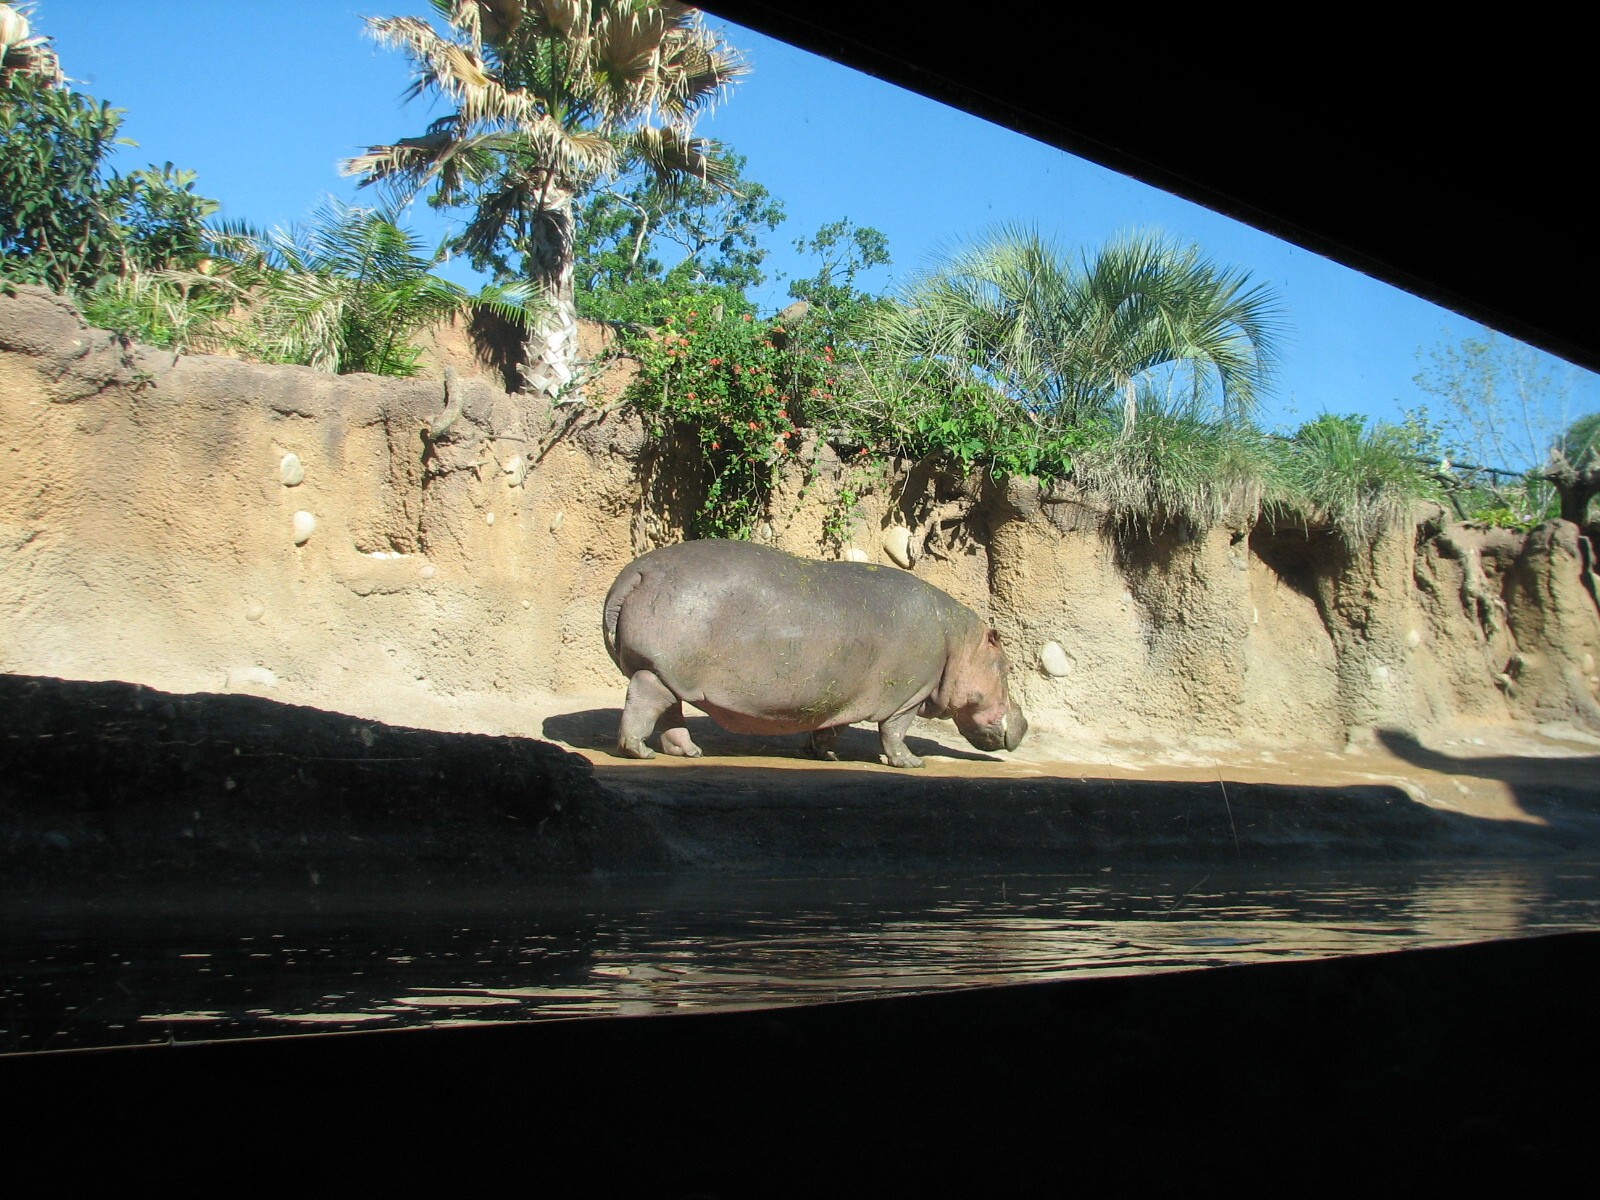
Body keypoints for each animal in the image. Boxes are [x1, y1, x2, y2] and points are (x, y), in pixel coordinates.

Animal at [602, 539, 1028, 767]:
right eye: (1007, 667)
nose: (1023, 723)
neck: (959, 643)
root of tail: (636, 572)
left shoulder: (843, 696)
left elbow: (830, 727)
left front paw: (824, 756)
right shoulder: (909, 695)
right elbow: (894, 732)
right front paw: (911, 763)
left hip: (672, 674)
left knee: (669, 711)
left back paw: (691, 753)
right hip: (662, 670)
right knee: (644, 700)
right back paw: (639, 752)